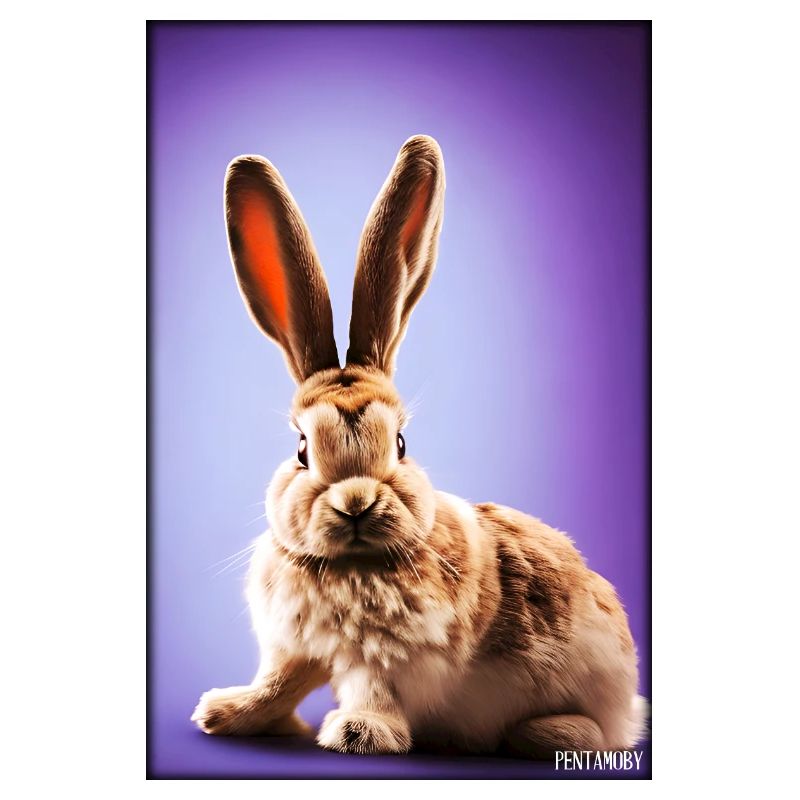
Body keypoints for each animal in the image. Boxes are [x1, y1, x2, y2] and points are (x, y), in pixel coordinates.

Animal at [191, 135, 647, 757]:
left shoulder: (385, 658)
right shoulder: (295, 649)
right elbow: (278, 684)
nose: (355, 503)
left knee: (598, 731)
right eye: (302, 448)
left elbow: (371, 690)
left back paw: (545, 732)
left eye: (402, 443)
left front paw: (359, 733)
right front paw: (224, 713)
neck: (351, 565)